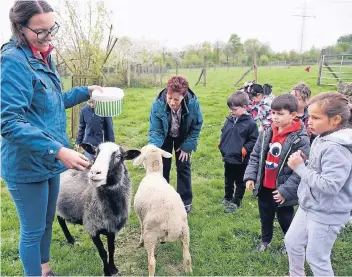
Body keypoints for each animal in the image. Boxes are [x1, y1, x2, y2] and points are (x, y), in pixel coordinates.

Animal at [133, 144, 192, 276]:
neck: (154, 173)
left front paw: (140, 242)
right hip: (185, 231)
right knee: (187, 257)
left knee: (151, 262)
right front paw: (163, 239)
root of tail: (172, 222)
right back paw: (189, 272)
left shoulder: (140, 216)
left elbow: (141, 228)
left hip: (150, 234)